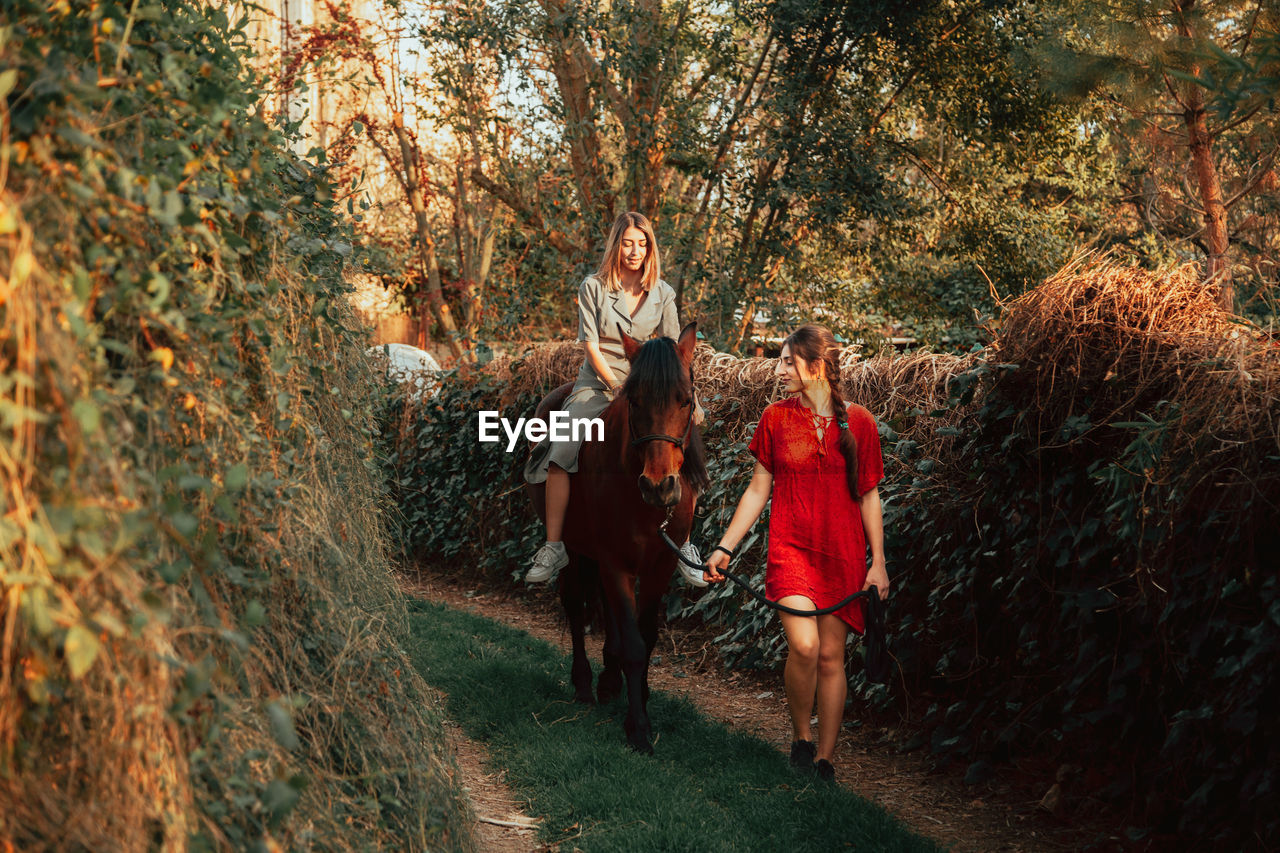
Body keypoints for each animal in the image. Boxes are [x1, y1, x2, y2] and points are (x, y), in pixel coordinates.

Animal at [527, 322, 711, 747]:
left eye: (686, 401)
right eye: (635, 402)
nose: (659, 487)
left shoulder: (658, 566)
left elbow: (646, 634)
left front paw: (637, 694)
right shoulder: (614, 563)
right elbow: (633, 645)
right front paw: (638, 727)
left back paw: (610, 683)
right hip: (575, 550)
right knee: (576, 606)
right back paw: (583, 684)